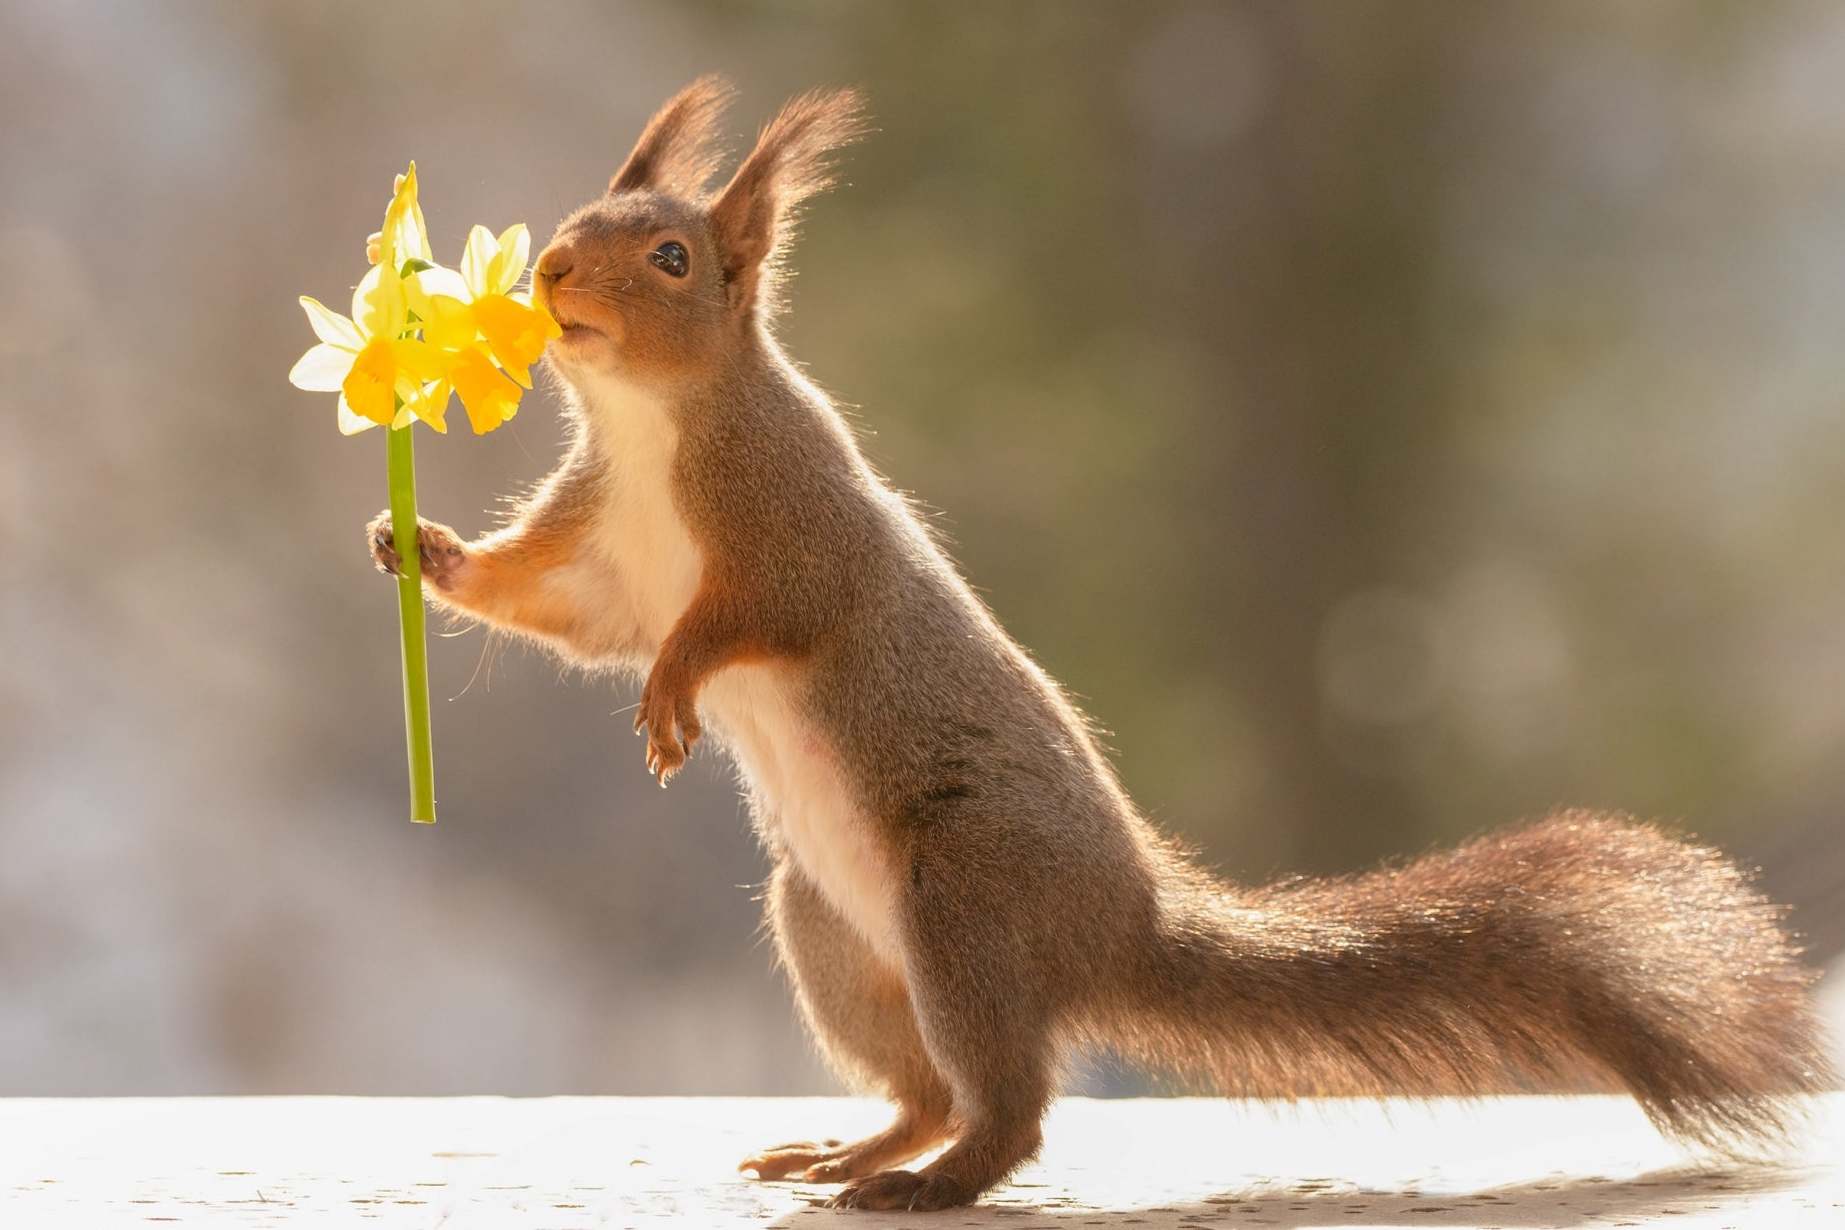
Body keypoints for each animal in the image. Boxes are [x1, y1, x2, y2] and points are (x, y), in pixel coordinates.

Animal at [368, 77, 1834, 1211]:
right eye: (573, 223)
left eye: (671, 258)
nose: (550, 273)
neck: (651, 425)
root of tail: (1119, 927)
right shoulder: (604, 553)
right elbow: (553, 609)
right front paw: (417, 549)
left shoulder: (794, 531)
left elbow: (747, 619)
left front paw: (675, 690)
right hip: (831, 929)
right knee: (927, 1088)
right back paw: (857, 1153)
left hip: (963, 901)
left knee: (1012, 1107)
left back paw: (931, 1184)